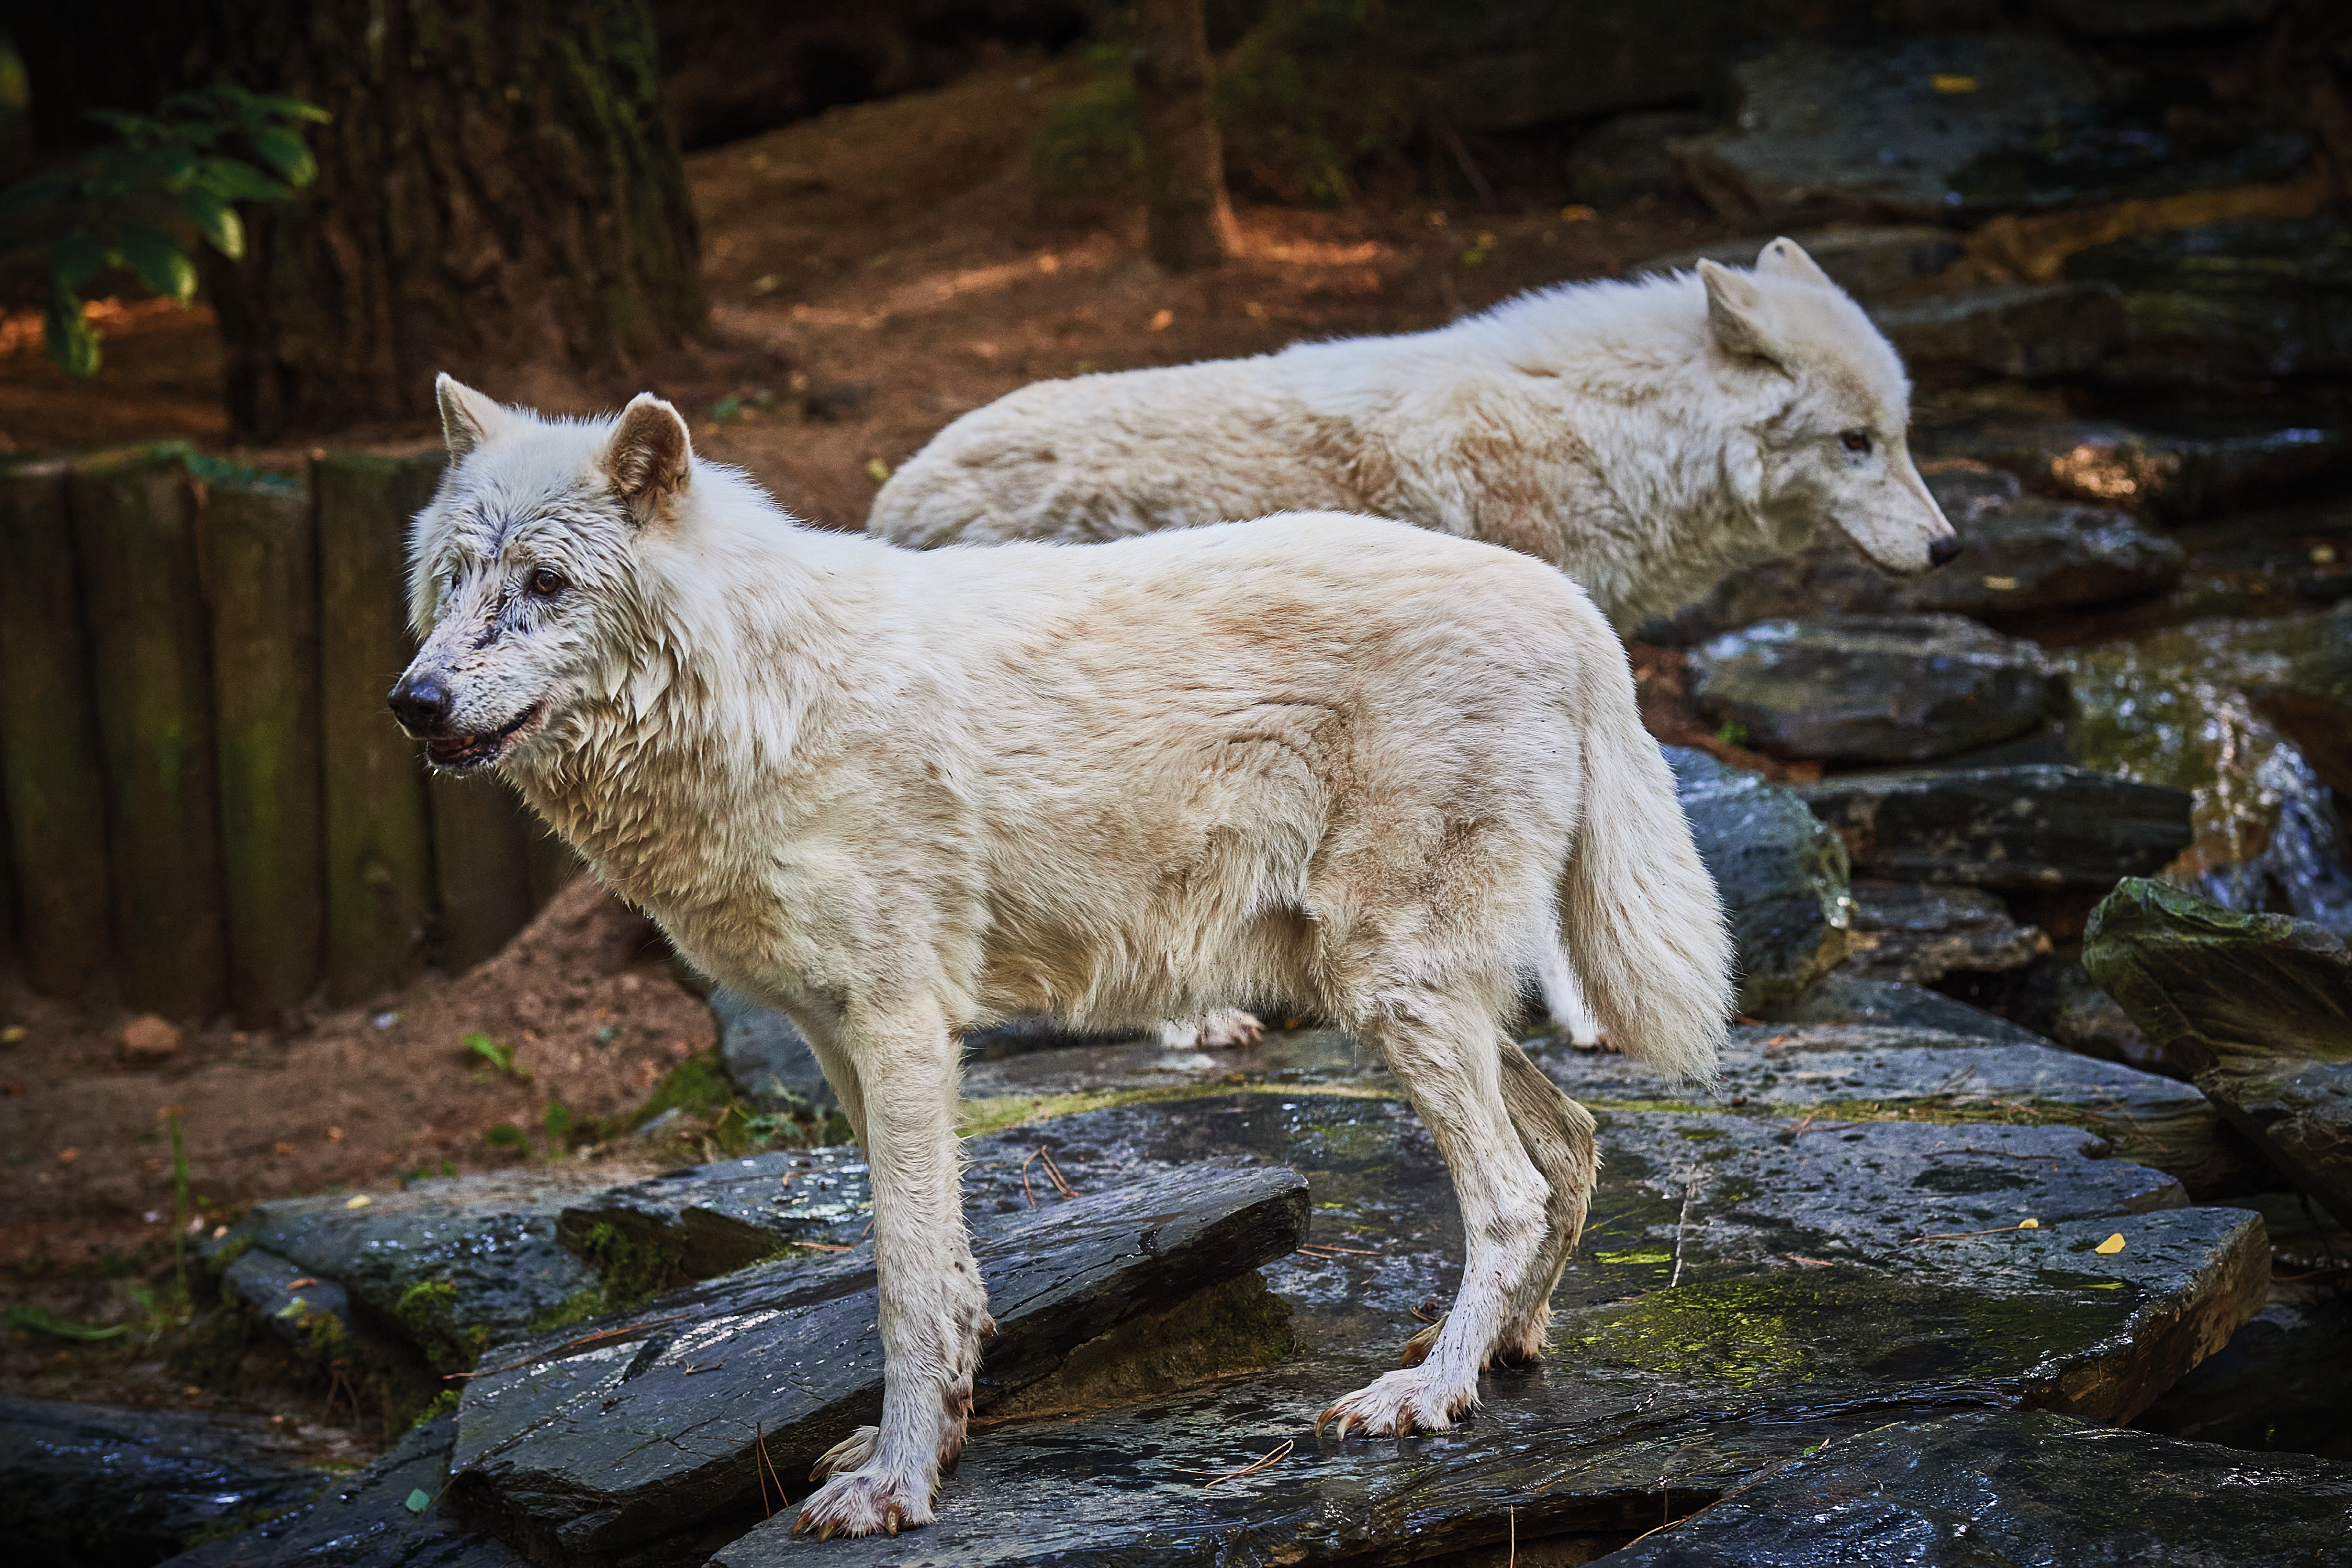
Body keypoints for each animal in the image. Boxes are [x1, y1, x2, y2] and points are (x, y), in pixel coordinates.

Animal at [395, 383, 1740, 1542]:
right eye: (453, 581)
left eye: (545, 582)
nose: (414, 701)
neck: (763, 694)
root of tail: (1573, 607)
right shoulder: (843, 1038)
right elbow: (941, 1269)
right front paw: (926, 1441)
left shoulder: (901, 1022)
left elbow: (898, 1283)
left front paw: (895, 1487)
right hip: (1394, 993)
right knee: (1570, 1143)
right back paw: (1502, 1350)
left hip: (1392, 987)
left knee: (1508, 1190)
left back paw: (1422, 1394)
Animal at [875, 232, 1957, 1048]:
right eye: (1853, 443)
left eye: (1901, 433)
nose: (1948, 547)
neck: (1607, 437)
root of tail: (899, 492)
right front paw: (1586, 1017)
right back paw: (1194, 1027)